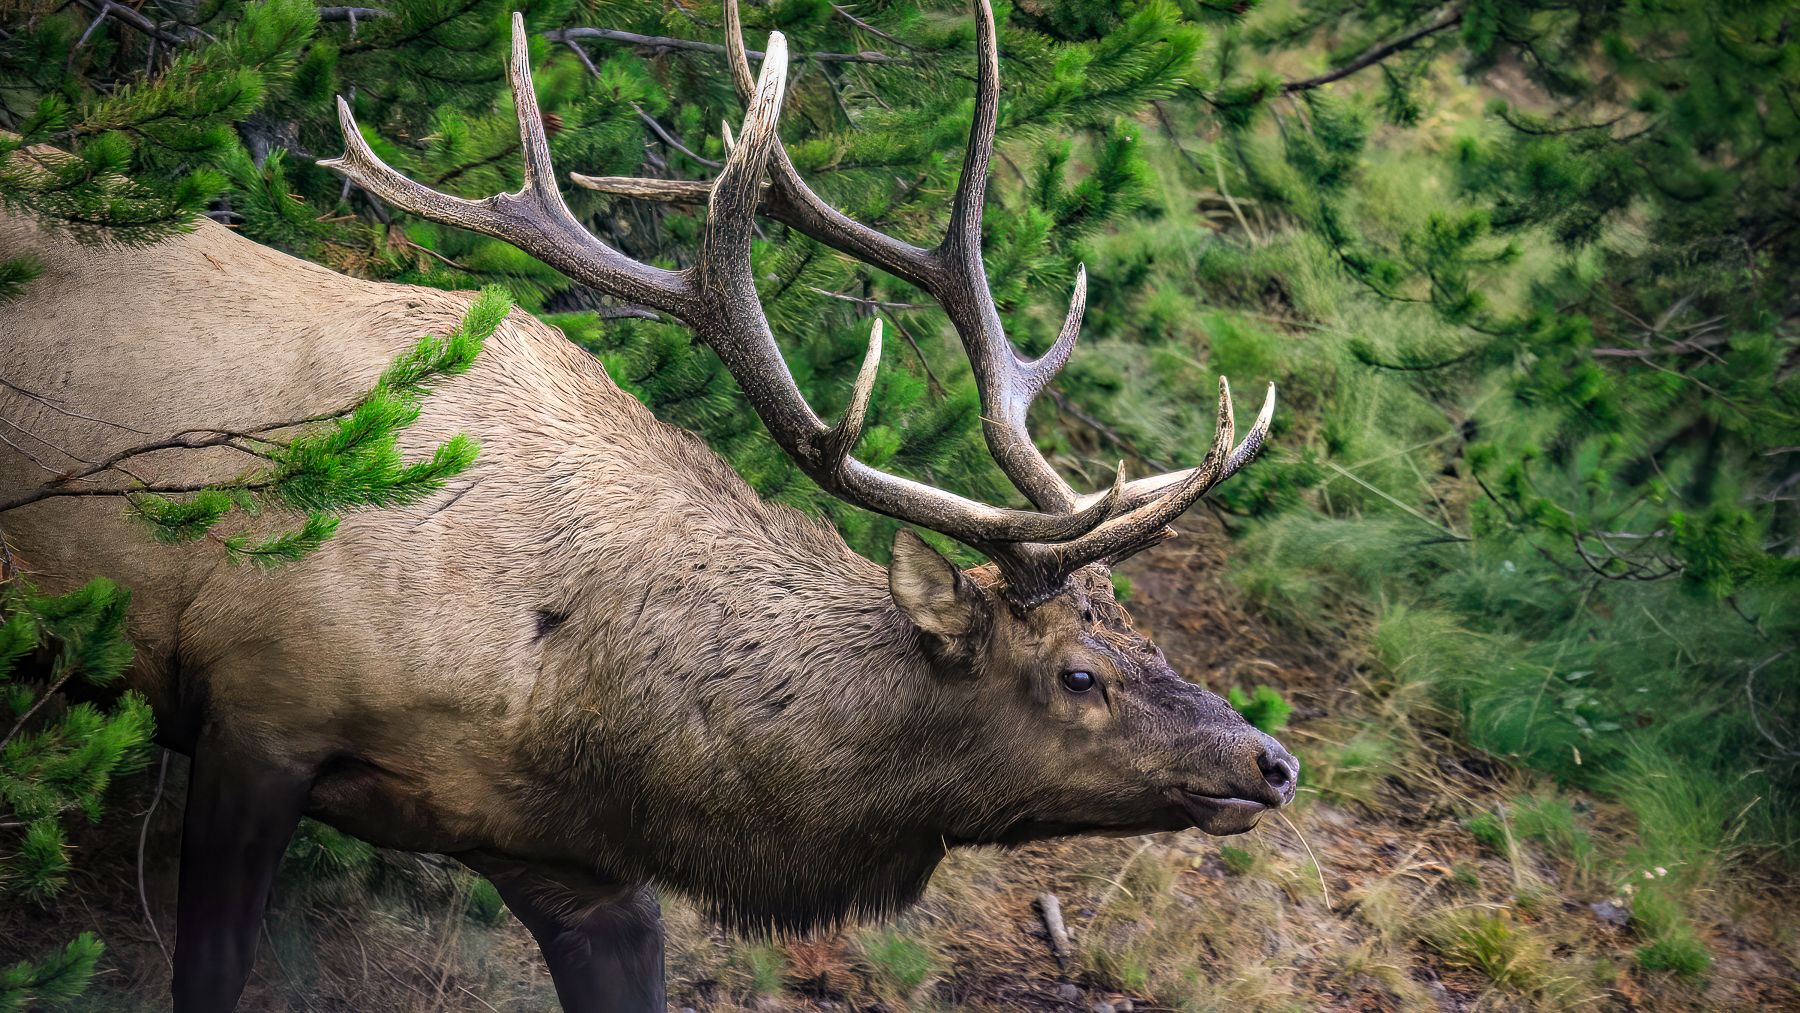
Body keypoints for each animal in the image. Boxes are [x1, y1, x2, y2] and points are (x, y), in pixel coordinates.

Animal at [0, 2, 1295, 1010]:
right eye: (1080, 672)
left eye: (1147, 636)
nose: (1273, 759)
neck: (562, 690)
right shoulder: (258, 708)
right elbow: (209, 971)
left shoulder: (570, 856)